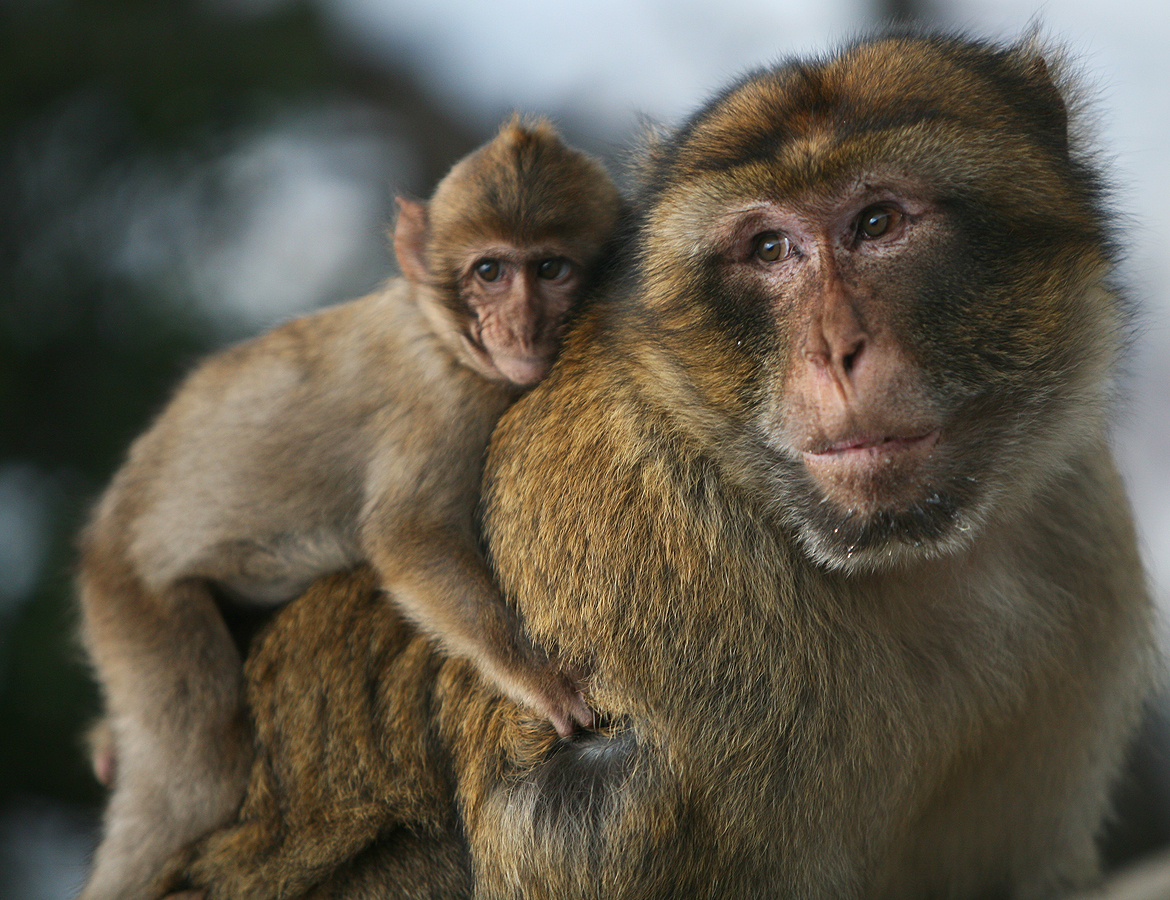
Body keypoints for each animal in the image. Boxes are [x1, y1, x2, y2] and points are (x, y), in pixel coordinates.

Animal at [75, 115, 623, 900]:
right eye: (490, 272)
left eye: (550, 269)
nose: (520, 325)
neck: (443, 333)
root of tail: (105, 528)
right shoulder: (445, 400)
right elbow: (407, 538)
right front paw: (536, 678)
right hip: (132, 598)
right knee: (193, 780)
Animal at [142, 32, 1157, 900]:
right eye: (769, 248)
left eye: (877, 222)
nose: (836, 349)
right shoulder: (637, 549)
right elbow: (557, 806)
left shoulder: (1076, 544)